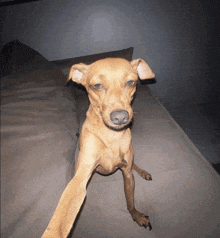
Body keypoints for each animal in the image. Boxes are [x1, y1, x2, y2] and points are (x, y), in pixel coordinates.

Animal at [41, 57, 155, 238]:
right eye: (97, 85)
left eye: (130, 82)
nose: (120, 117)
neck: (110, 136)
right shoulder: (79, 178)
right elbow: (62, 215)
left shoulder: (127, 174)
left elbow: (130, 202)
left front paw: (136, 216)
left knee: (134, 165)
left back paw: (143, 172)